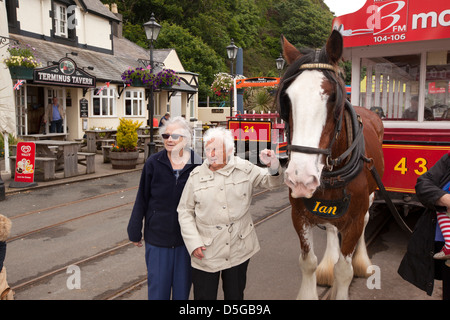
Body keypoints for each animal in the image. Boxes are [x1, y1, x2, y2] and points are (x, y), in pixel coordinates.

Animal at [276, 30, 384, 300]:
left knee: (367, 219)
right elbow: (308, 262)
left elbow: (344, 271)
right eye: (287, 98)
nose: (300, 178)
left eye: (335, 97)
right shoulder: (299, 214)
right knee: (333, 228)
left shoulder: (354, 218)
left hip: (370, 196)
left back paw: (363, 262)